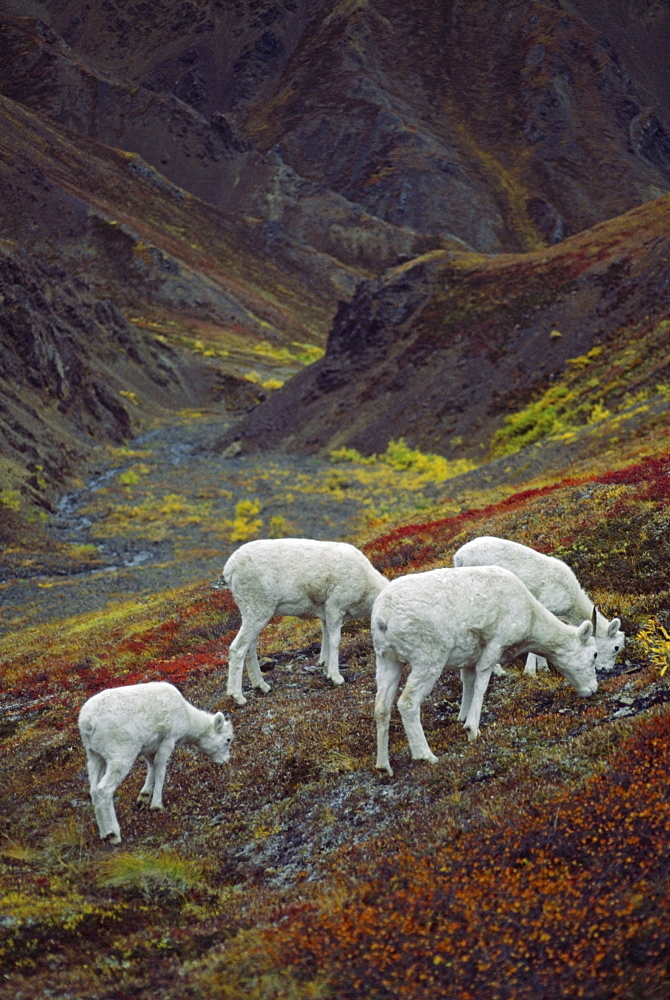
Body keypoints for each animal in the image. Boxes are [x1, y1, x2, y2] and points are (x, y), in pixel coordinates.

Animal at [79, 680, 234, 844]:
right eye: (228, 740)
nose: (225, 760)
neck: (188, 717)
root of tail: (88, 723)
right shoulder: (168, 741)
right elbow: (160, 769)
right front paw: (157, 805)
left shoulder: (149, 748)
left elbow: (152, 766)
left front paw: (144, 797)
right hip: (120, 757)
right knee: (104, 790)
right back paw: (113, 834)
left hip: (95, 757)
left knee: (94, 791)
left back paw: (103, 833)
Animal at [220, 536, 388, 708]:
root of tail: (229, 569)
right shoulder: (335, 608)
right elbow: (335, 641)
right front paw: (336, 677)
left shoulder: (326, 614)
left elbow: (325, 639)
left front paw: (326, 669)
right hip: (257, 610)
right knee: (238, 649)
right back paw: (238, 696)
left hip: (254, 614)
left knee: (250, 648)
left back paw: (262, 686)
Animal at [372, 568, 600, 776]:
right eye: (595, 654)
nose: (593, 690)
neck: (531, 617)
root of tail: (384, 616)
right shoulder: (494, 646)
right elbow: (481, 684)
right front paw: (472, 729)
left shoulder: (469, 657)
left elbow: (469, 683)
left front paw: (462, 717)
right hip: (427, 660)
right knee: (407, 703)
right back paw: (426, 755)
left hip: (387, 660)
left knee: (381, 707)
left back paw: (383, 766)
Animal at [454, 536, 628, 676]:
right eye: (616, 647)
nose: (606, 669)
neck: (571, 598)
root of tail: (459, 556)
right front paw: (531, 672)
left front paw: (544, 669)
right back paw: (499, 672)